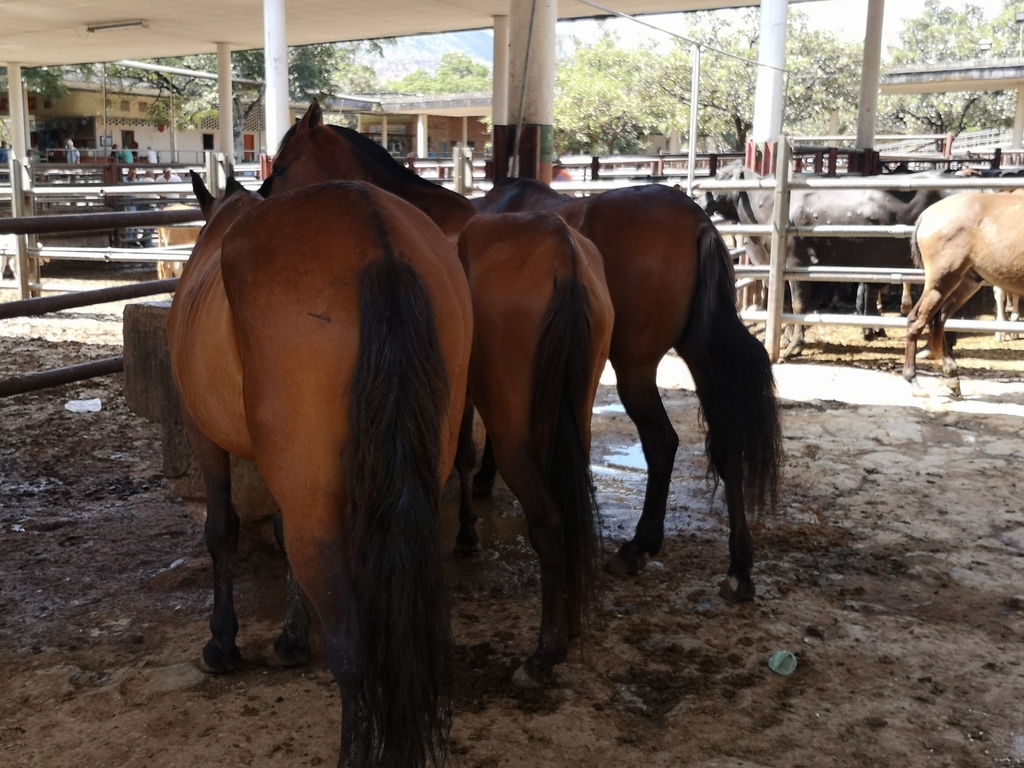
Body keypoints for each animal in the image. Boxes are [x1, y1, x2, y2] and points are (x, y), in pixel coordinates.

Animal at [167, 174, 473, 767]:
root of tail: (376, 236)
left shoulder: (202, 434)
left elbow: (222, 531)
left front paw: (223, 642)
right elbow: (277, 530)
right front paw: (290, 639)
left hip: (313, 499)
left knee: (352, 651)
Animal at [262, 100, 781, 605]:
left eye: (283, 165)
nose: (264, 200)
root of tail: (696, 220)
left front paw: (471, 517)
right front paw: (485, 481)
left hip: (634, 367)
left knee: (662, 443)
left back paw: (639, 545)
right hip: (697, 355)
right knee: (727, 443)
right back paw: (738, 566)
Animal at [454, 211, 614, 686]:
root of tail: (561, 249)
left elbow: (461, 454)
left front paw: (466, 533)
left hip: (514, 434)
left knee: (549, 520)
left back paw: (545, 651)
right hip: (574, 417)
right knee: (575, 508)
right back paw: (572, 620)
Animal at [904, 191, 1024, 397]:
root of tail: (927, 214)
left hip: (964, 284)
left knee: (940, 319)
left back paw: (951, 377)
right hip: (941, 283)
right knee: (917, 321)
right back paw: (914, 381)